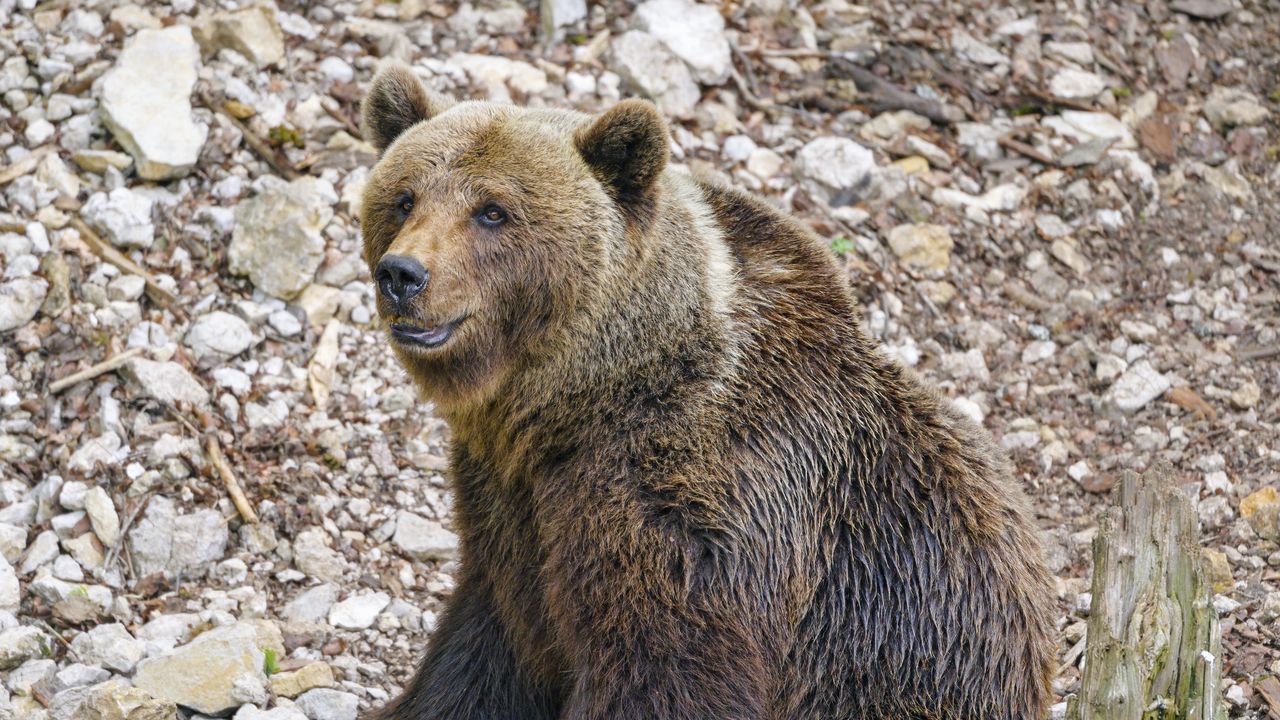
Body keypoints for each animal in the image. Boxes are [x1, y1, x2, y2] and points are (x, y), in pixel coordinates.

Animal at [358, 61, 1056, 720]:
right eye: (405, 198)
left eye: (493, 211)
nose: (403, 274)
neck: (581, 401)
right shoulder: (511, 507)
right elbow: (484, 644)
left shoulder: (703, 512)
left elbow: (665, 671)